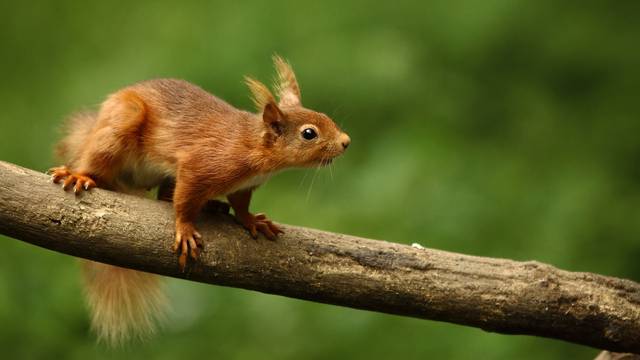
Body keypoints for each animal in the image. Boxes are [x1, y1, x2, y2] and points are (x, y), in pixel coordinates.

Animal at [48, 55, 350, 344]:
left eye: (325, 116)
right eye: (309, 133)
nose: (346, 141)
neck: (253, 147)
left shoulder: (244, 185)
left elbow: (240, 204)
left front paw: (252, 221)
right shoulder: (199, 166)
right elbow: (184, 201)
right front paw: (184, 229)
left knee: (164, 196)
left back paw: (213, 205)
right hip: (121, 124)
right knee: (99, 161)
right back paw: (78, 174)